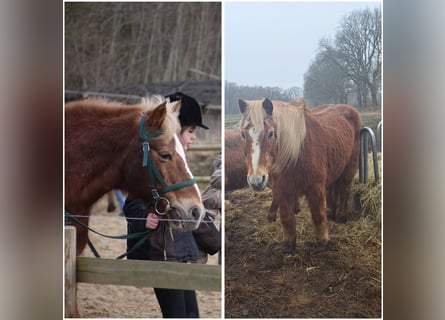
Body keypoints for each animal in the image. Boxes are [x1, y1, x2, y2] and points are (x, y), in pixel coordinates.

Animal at [238, 99, 360, 254]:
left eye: (271, 133)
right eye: (243, 135)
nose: (256, 181)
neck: (297, 153)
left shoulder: (315, 187)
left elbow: (318, 216)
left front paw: (322, 242)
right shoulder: (281, 189)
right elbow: (286, 219)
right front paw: (289, 246)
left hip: (349, 167)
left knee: (344, 190)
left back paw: (341, 217)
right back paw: (331, 213)